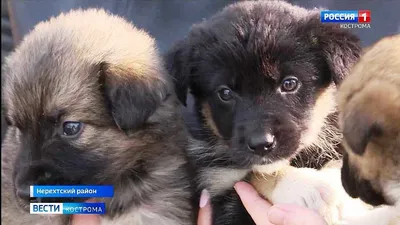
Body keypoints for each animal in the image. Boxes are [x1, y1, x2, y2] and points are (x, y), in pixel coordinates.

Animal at [167, 0, 360, 224]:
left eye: (289, 83)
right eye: (225, 93)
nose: (261, 144)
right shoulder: (217, 186)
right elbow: (255, 175)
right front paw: (308, 188)